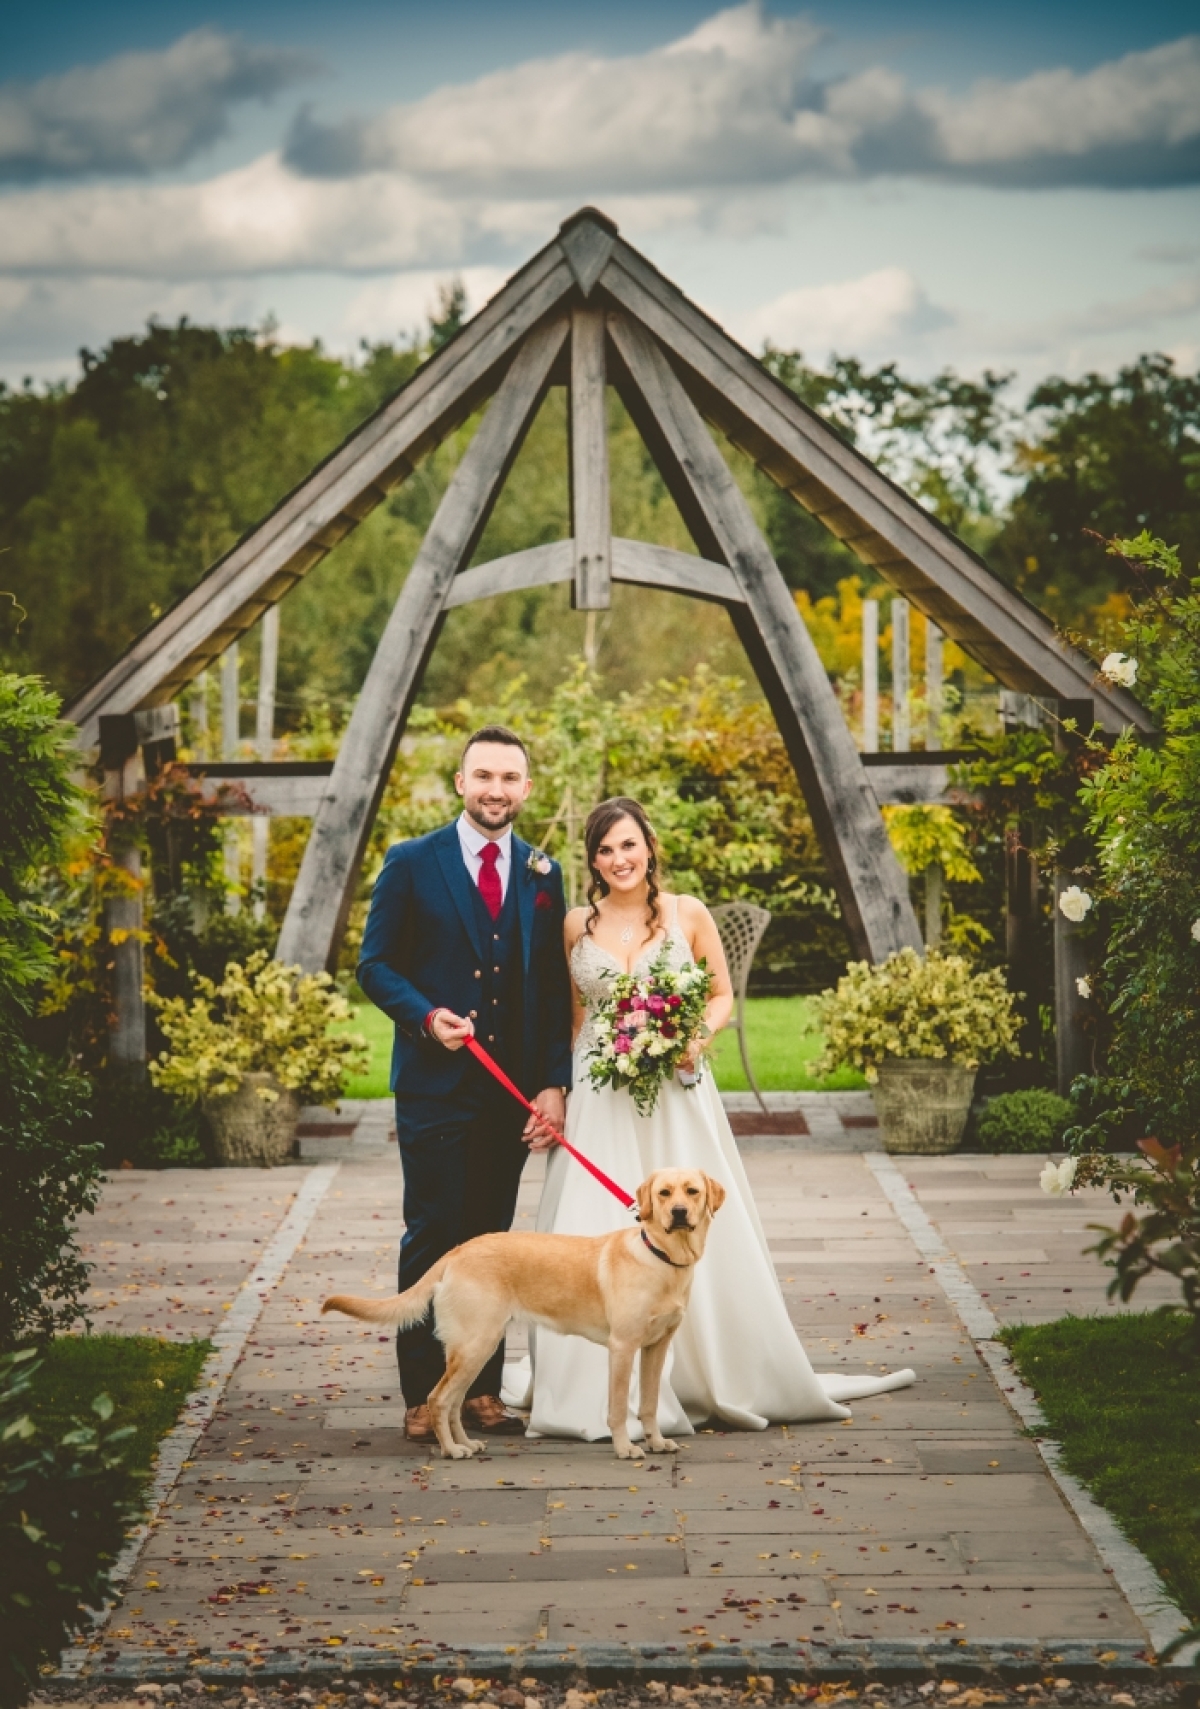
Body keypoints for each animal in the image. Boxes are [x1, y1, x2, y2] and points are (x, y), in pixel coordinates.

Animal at [319, 1168, 728, 1462]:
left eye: (692, 1191)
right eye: (664, 1193)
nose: (678, 1213)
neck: (663, 1258)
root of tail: (456, 1251)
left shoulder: (656, 1347)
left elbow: (648, 1404)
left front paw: (657, 1442)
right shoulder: (623, 1347)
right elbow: (616, 1408)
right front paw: (625, 1448)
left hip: (475, 1348)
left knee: (454, 1401)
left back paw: (466, 1444)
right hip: (476, 1345)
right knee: (438, 1399)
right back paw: (451, 1450)